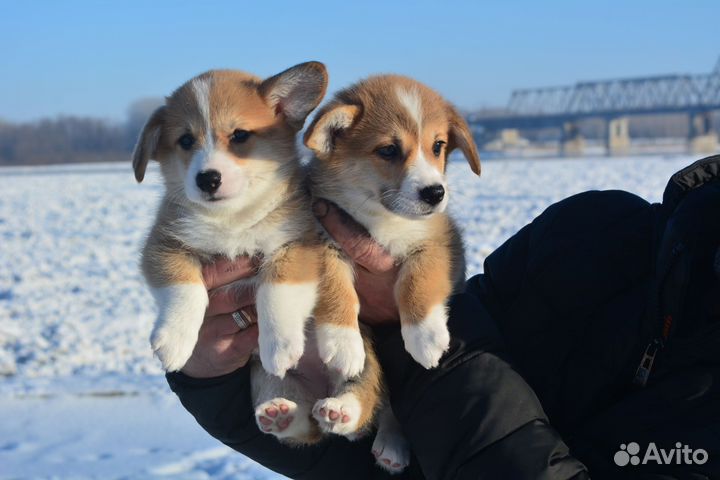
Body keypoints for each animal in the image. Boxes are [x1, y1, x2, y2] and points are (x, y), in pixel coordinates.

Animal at [133, 62, 408, 470]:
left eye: (240, 136)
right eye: (184, 141)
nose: (207, 178)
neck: (232, 219)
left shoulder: (297, 245)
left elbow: (274, 289)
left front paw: (279, 344)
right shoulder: (164, 245)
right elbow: (185, 288)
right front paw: (175, 342)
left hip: (361, 361)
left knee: (364, 406)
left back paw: (350, 415)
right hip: (265, 382)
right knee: (307, 430)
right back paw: (281, 415)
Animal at [300, 74, 480, 368]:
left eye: (438, 146)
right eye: (388, 150)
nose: (435, 193)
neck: (383, 217)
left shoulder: (436, 241)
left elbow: (417, 280)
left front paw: (425, 336)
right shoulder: (321, 239)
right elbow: (335, 286)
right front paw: (342, 342)